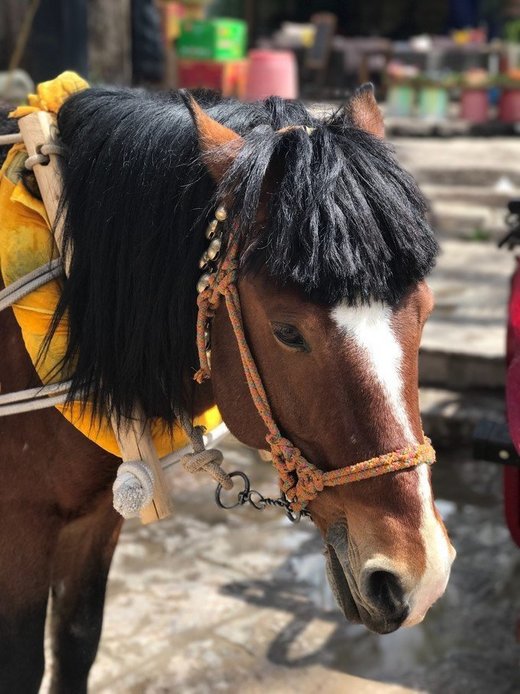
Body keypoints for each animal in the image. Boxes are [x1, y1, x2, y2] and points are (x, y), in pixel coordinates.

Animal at [0, 87, 456, 694]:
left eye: (425, 311)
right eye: (288, 331)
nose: (419, 573)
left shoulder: (93, 521)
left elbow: (75, 645)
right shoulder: (20, 528)